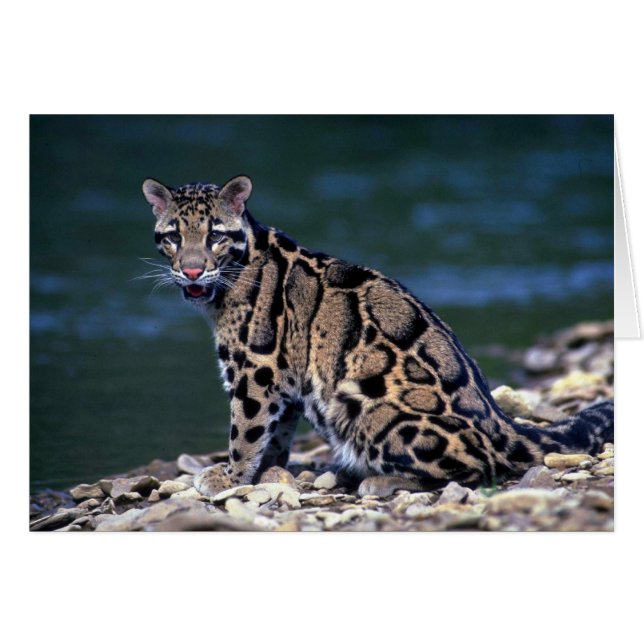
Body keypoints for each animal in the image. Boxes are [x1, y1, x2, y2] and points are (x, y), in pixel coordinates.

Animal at [142, 174, 614, 498]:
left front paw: (231, 477)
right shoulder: (284, 378)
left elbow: (246, 429)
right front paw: (267, 473)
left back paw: (377, 479)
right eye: (173, 236)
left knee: (479, 470)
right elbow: (275, 434)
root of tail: (501, 425)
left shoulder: (257, 368)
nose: (191, 270)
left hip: (361, 402)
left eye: (215, 236)